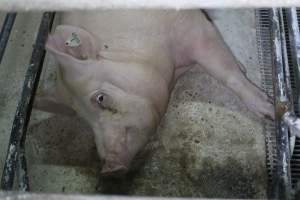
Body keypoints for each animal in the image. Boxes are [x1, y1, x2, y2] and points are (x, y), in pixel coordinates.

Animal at [33, 10, 274, 177]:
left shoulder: (193, 27)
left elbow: (226, 72)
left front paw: (270, 111)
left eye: (100, 98)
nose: (109, 168)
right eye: (83, 120)